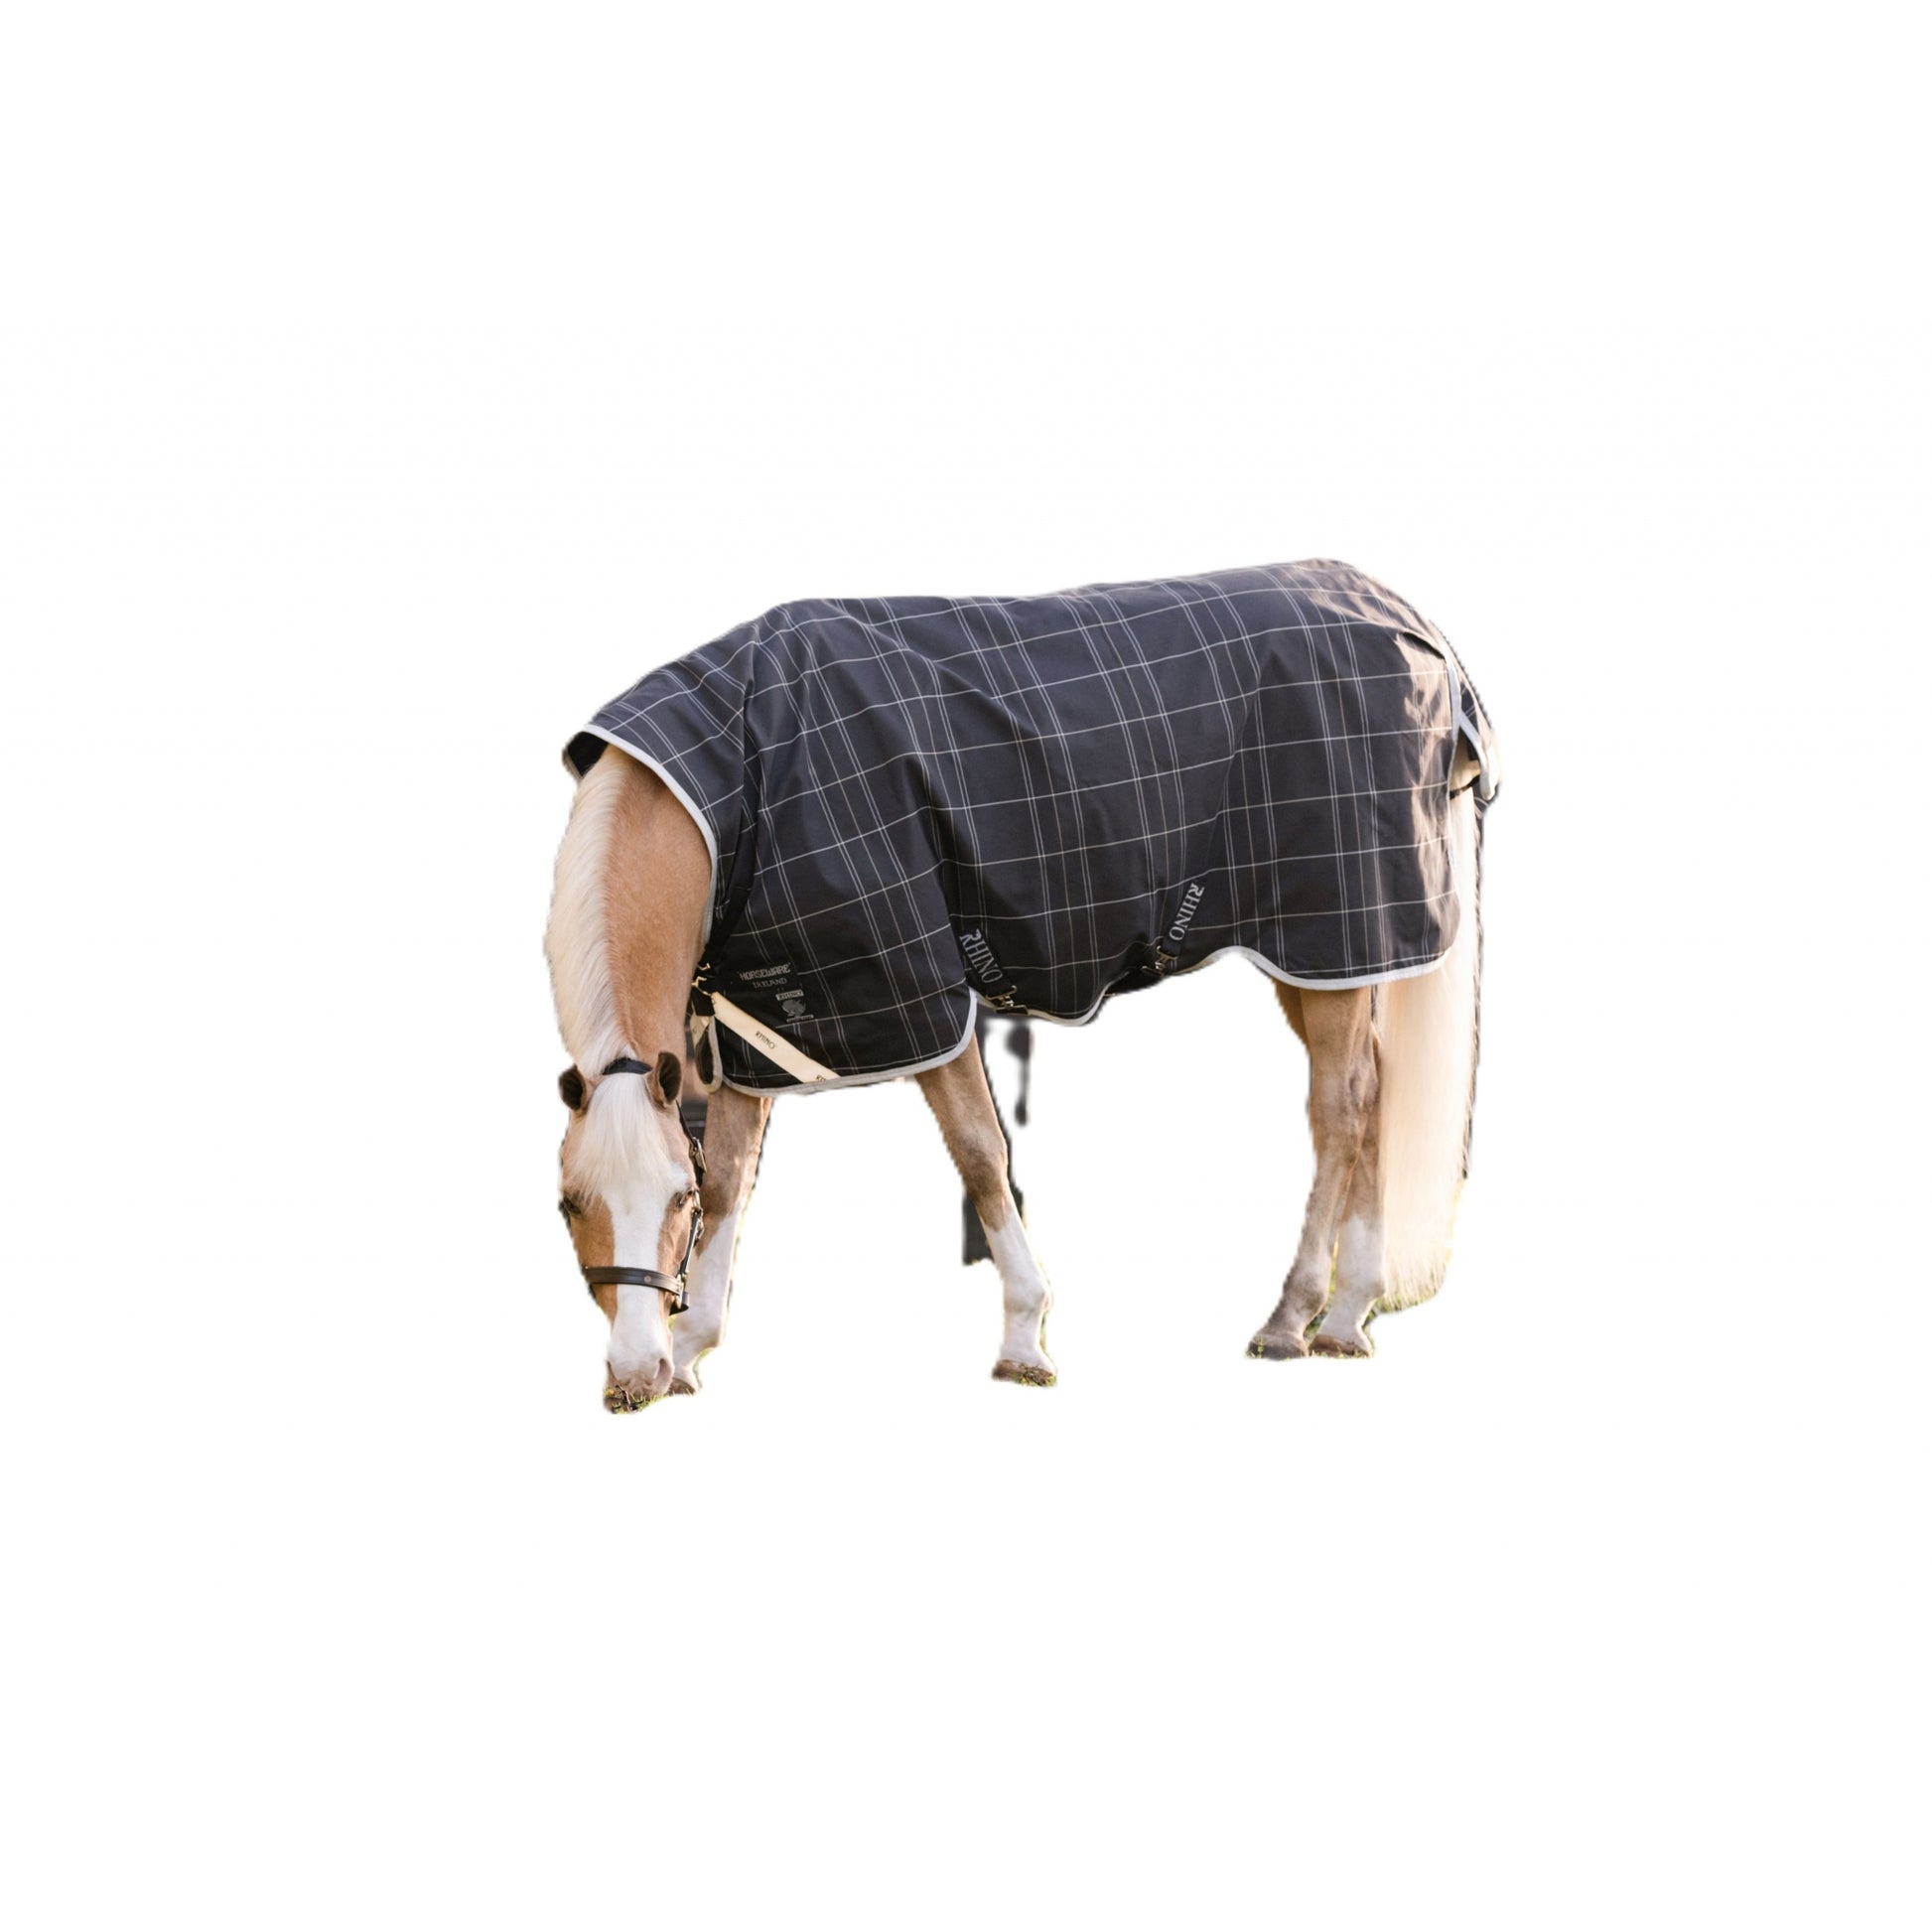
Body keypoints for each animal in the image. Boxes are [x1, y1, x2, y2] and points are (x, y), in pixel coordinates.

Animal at [544, 563, 1495, 1411]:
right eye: (567, 1204)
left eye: (673, 1198)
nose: (632, 1378)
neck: (741, 782)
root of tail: (1414, 625)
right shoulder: (764, 1019)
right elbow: (738, 1177)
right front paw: (692, 1352)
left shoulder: (916, 993)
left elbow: (978, 1151)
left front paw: (1023, 1340)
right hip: (1328, 955)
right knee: (1373, 1088)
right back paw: (1346, 1316)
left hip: (1334, 934)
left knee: (1339, 1106)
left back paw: (1291, 1317)